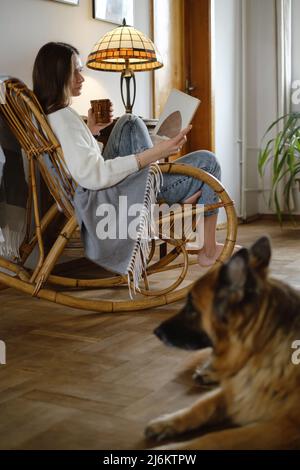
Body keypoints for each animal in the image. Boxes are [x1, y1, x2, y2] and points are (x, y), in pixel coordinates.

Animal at [145, 237, 300, 450]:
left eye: (191, 307)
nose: (156, 331)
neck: (261, 346)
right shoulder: (237, 392)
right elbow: (202, 405)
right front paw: (166, 422)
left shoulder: (284, 428)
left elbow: (219, 437)